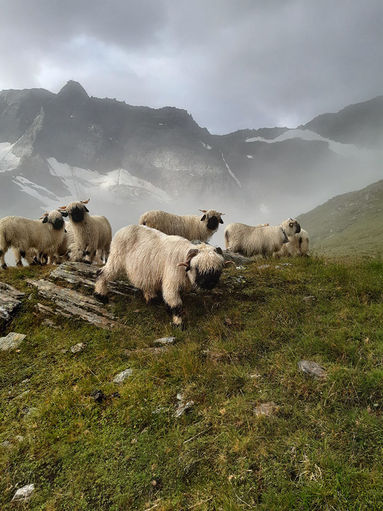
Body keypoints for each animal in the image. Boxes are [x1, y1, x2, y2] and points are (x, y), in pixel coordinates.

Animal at [94, 225, 231, 328]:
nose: (209, 284)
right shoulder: (171, 281)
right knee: (102, 273)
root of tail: (123, 229)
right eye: (197, 268)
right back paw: (100, 295)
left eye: (217, 270)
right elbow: (175, 303)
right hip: (116, 258)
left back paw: (152, 298)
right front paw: (178, 324)